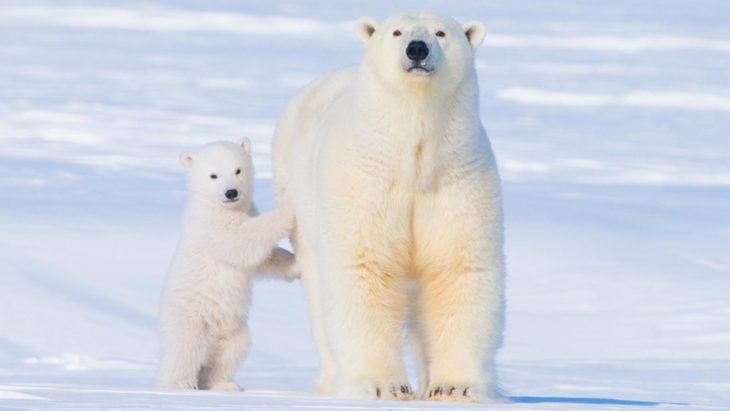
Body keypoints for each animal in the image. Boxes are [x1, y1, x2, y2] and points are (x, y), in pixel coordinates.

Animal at [158, 139, 298, 392]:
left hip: (232, 328)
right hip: (190, 315)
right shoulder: (211, 225)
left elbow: (260, 259)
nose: (231, 192)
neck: (217, 206)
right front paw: (288, 210)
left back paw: (223, 384)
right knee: (185, 348)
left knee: (233, 349)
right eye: (213, 175)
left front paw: (295, 265)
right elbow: (241, 239)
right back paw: (180, 385)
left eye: (238, 170)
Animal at [270, 12, 504, 402]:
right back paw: (331, 380)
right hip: (298, 203)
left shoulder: (457, 181)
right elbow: (365, 267)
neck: (412, 160)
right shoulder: (365, 182)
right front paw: (384, 386)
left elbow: (457, 269)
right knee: (319, 296)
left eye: (441, 32)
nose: (417, 49)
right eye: (397, 32)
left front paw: (454, 386)